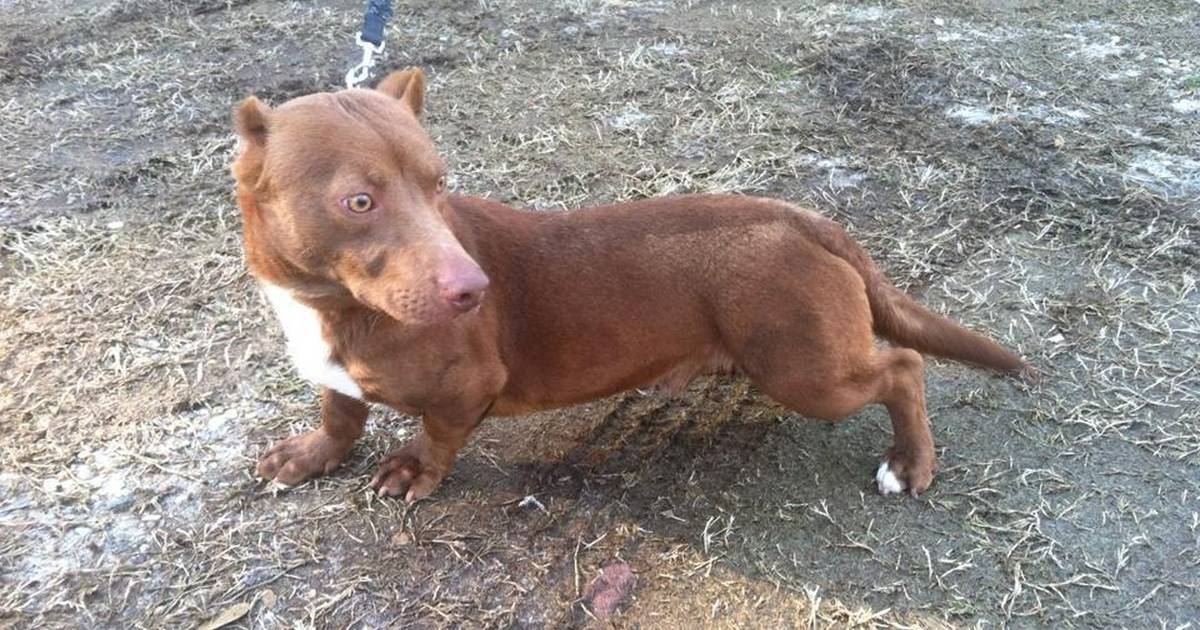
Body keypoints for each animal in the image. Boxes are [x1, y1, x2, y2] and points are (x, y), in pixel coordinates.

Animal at [231, 67, 1022, 501]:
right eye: (359, 202)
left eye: (438, 183)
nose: (472, 290)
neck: (329, 307)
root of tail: (803, 218)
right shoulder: (334, 376)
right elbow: (342, 414)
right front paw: (311, 455)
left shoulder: (467, 389)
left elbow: (435, 436)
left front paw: (411, 472)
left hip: (808, 371)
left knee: (904, 366)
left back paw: (910, 463)